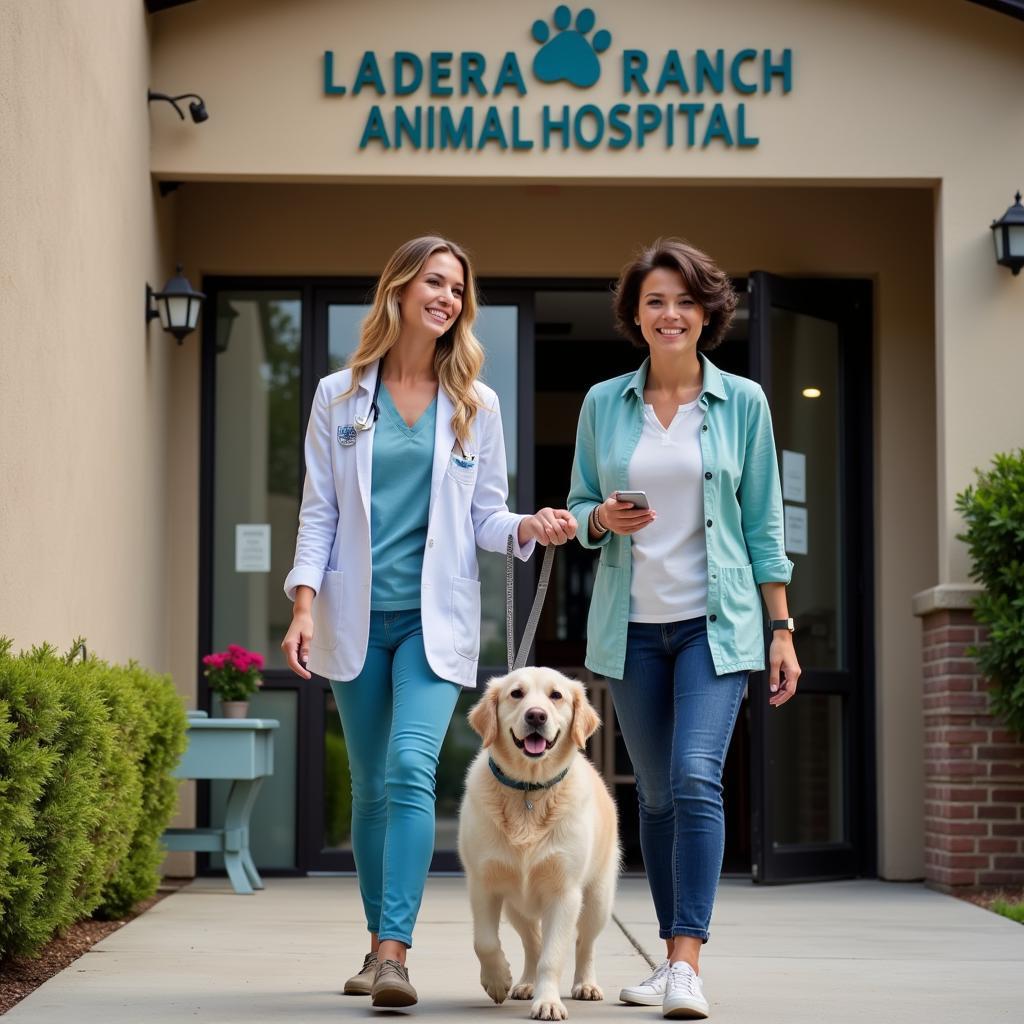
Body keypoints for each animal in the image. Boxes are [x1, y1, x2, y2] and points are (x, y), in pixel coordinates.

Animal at [460, 667, 618, 1019]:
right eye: (516, 694)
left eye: (555, 695)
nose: (536, 715)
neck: (529, 791)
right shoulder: (483, 883)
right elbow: (484, 942)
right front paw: (497, 979)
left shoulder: (565, 893)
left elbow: (553, 956)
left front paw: (548, 1002)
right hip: (517, 906)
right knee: (532, 941)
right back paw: (526, 983)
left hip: (598, 899)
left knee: (585, 943)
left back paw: (586, 984)